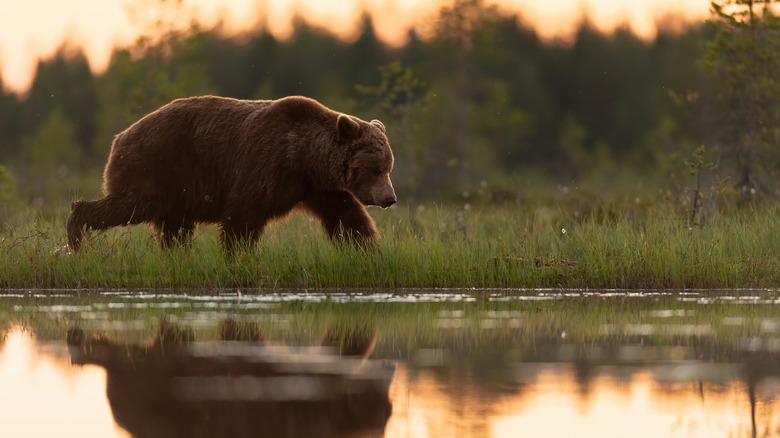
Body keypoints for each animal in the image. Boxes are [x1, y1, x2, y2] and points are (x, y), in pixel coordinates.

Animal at [66, 94, 396, 252]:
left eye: (388, 166)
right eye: (376, 169)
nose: (390, 198)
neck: (303, 158)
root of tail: (119, 137)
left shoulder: (318, 188)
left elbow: (347, 218)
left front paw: (368, 250)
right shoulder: (265, 167)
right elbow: (242, 216)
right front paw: (237, 256)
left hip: (176, 191)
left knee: (175, 229)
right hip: (154, 167)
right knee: (129, 205)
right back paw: (77, 233)